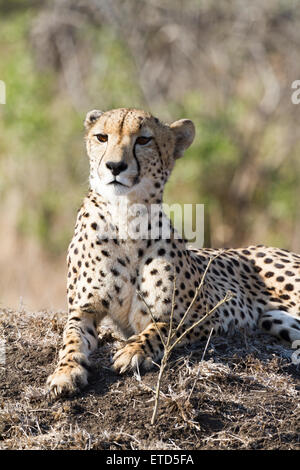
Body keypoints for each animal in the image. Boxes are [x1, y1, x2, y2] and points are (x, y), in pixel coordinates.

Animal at [47, 108, 300, 398]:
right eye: (102, 137)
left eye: (143, 140)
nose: (115, 166)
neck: (125, 214)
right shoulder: (83, 309)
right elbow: (71, 339)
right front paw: (65, 372)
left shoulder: (207, 313)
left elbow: (163, 328)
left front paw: (134, 351)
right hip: (275, 319)